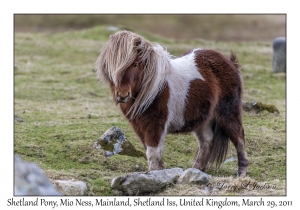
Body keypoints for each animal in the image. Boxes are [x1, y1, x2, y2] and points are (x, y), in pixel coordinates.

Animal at [95, 30, 248, 176]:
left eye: (135, 64)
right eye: (110, 67)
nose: (122, 95)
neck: (153, 88)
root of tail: (230, 62)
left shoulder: (155, 125)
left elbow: (153, 153)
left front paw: (155, 174)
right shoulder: (139, 126)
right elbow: (151, 152)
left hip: (227, 113)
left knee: (239, 138)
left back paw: (241, 173)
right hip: (204, 118)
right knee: (207, 141)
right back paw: (196, 170)